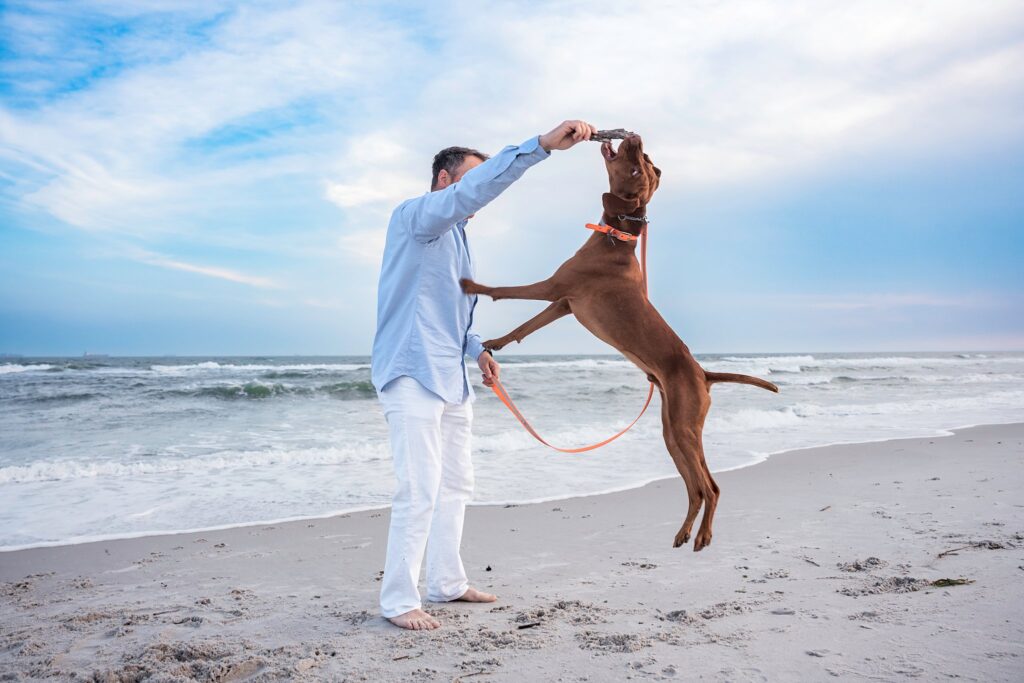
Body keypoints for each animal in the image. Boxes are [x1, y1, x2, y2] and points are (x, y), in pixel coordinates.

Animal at [462, 136, 774, 552]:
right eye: (647, 163)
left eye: (637, 167)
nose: (637, 138)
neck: (618, 240)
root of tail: (703, 374)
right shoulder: (565, 303)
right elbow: (525, 327)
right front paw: (494, 342)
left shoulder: (555, 287)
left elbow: (508, 290)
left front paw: (470, 285)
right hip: (674, 431)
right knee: (698, 488)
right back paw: (684, 532)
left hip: (683, 427)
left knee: (710, 487)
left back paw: (703, 535)